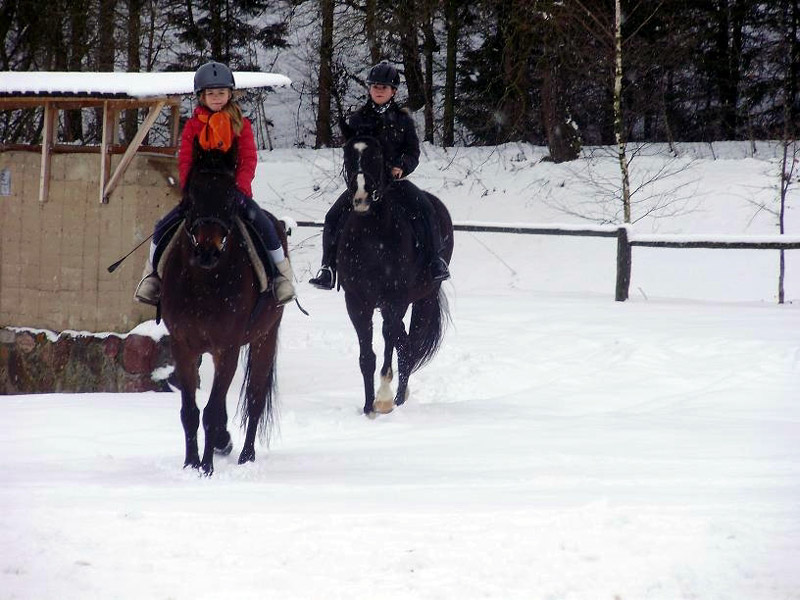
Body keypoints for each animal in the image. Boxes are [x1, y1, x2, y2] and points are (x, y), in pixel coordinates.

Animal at [159, 148, 284, 476]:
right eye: (192, 196)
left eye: (229, 197)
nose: (207, 251)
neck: (204, 284)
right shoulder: (183, 346)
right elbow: (190, 411)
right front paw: (191, 463)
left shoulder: (227, 347)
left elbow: (211, 411)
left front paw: (206, 468)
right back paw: (223, 443)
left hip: (264, 338)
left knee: (254, 398)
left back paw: (246, 455)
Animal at [334, 131, 454, 414]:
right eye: (347, 154)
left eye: (376, 156)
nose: (362, 196)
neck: (371, 236)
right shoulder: (357, 302)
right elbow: (367, 355)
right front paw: (368, 407)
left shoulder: (395, 299)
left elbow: (394, 343)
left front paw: (386, 399)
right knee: (402, 341)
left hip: (422, 298)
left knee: (404, 343)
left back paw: (397, 397)